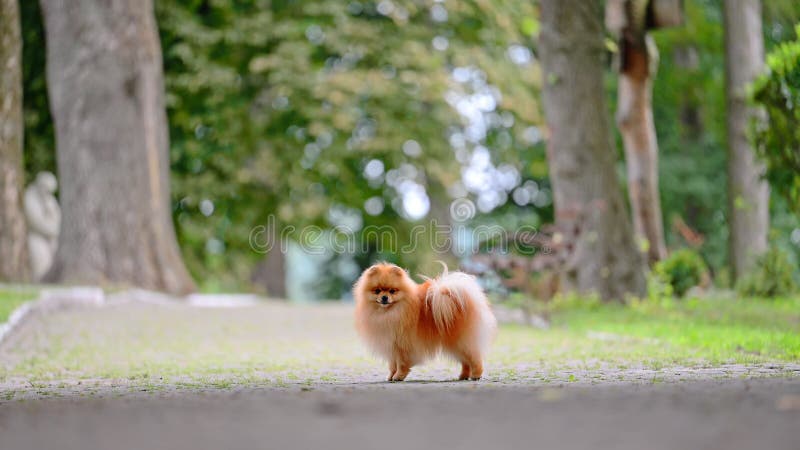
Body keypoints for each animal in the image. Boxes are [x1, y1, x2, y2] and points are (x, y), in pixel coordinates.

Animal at [354, 262, 496, 382]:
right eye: (377, 291)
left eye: (392, 291)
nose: (384, 297)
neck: (389, 313)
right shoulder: (391, 345)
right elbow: (392, 365)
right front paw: (391, 376)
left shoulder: (402, 345)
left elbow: (401, 364)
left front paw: (398, 376)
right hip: (455, 343)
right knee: (465, 361)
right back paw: (463, 376)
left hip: (461, 340)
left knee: (475, 358)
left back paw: (476, 375)